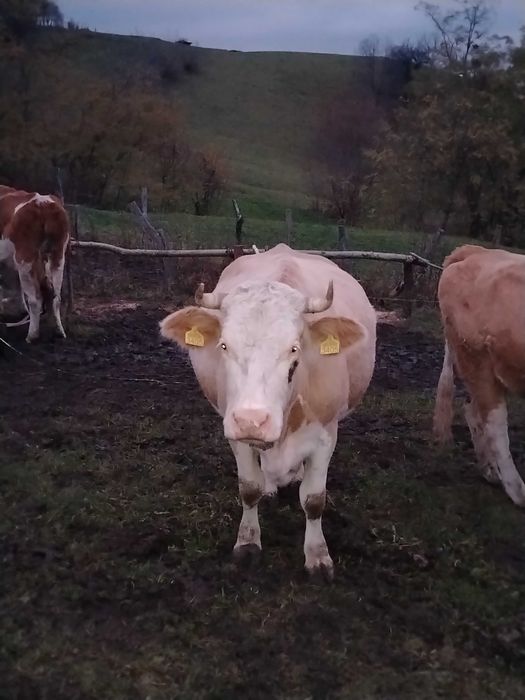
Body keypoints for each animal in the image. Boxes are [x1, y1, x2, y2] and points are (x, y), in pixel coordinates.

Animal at [0, 185, 69, 342]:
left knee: (35, 299)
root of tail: (45, 204)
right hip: (57, 255)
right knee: (56, 297)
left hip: (25, 257)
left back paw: (32, 335)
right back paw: (59, 331)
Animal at [160, 244, 376, 578]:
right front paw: (248, 543)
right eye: (224, 346)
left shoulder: (326, 435)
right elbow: (249, 489)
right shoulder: (235, 432)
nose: (252, 420)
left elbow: (314, 500)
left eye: (294, 348)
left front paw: (317, 555)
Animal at [433, 244, 525, 507]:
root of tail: (476, 251)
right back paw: (517, 490)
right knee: (493, 420)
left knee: (473, 410)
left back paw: (491, 471)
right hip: (476, 358)